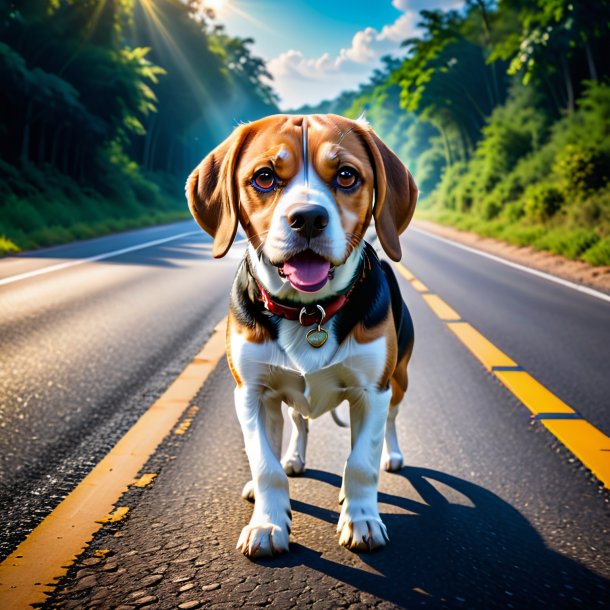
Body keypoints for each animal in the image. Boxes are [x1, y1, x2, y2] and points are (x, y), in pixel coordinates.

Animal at [184, 113, 414, 556]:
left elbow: (360, 463)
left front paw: (362, 520)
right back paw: (289, 461)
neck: (310, 312)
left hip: (398, 379)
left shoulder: (371, 391)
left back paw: (391, 456)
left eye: (346, 175)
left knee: (392, 420)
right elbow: (264, 464)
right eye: (264, 177)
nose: (307, 218)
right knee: (296, 422)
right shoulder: (251, 393)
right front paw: (267, 524)